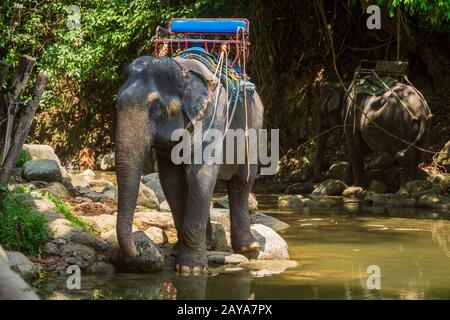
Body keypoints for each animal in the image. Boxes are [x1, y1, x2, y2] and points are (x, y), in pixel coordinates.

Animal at [115, 55, 264, 272]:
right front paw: (180, 253)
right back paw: (208, 244)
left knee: (242, 181)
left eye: (156, 107)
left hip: (254, 128)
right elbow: (171, 181)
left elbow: (201, 174)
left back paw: (248, 248)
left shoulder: (213, 117)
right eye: (116, 105)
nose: (138, 252)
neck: (183, 72)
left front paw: (190, 269)